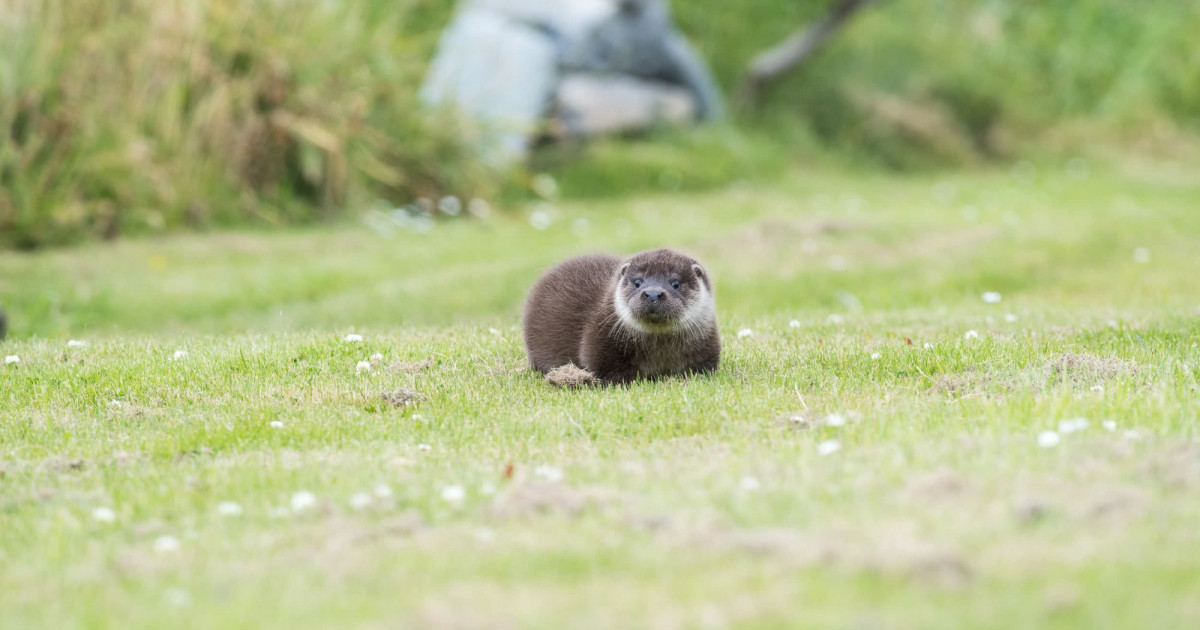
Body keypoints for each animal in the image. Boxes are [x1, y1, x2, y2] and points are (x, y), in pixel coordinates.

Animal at [520, 248, 715, 381]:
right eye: (637, 282)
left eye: (675, 283)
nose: (652, 293)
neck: (658, 349)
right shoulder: (601, 343)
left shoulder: (706, 349)